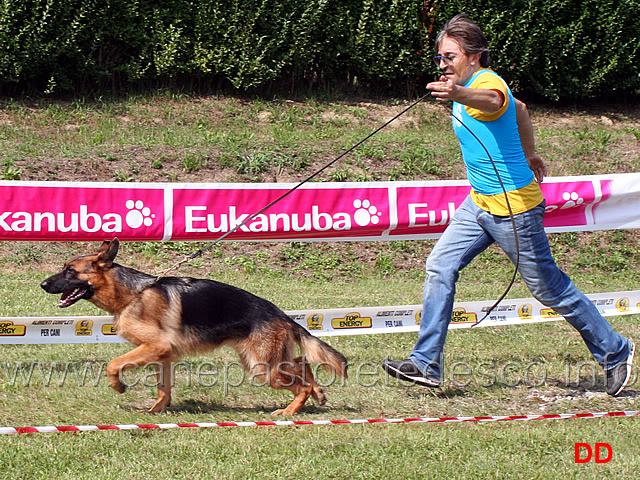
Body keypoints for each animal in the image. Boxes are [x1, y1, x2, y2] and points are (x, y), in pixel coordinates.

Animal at [42, 238, 348, 414]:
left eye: (70, 270)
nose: (43, 284)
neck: (133, 294)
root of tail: (280, 314)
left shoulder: (155, 346)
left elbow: (113, 364)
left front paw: (118, 387)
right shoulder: (162, 355)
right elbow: (163, 388)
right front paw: (156, 411)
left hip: (263, 369)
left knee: (301, 383)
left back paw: (289, 412)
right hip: (263, 361)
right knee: (301, 362)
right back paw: (317, 393)